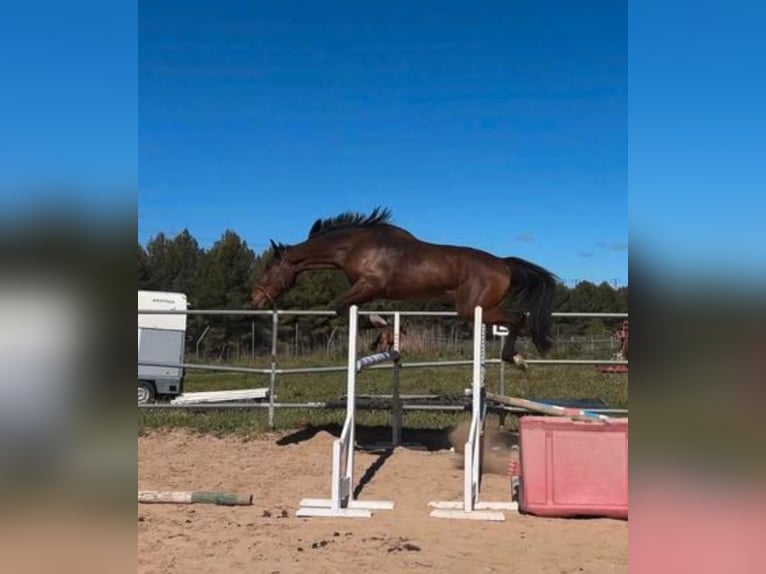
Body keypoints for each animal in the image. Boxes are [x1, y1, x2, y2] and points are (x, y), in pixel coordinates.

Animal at [252, 207, 558, 367]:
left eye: (269, 269)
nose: (255, 299)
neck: (354, 246)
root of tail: (504, 264)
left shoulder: (370, 286)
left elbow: (339, 308)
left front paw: (383, 332)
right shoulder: (364, 291)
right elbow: (350, 311)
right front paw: (383, 335)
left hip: (474, 308)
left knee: (518, 319)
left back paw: (516, 358)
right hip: (477, 309)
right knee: (518, 320)